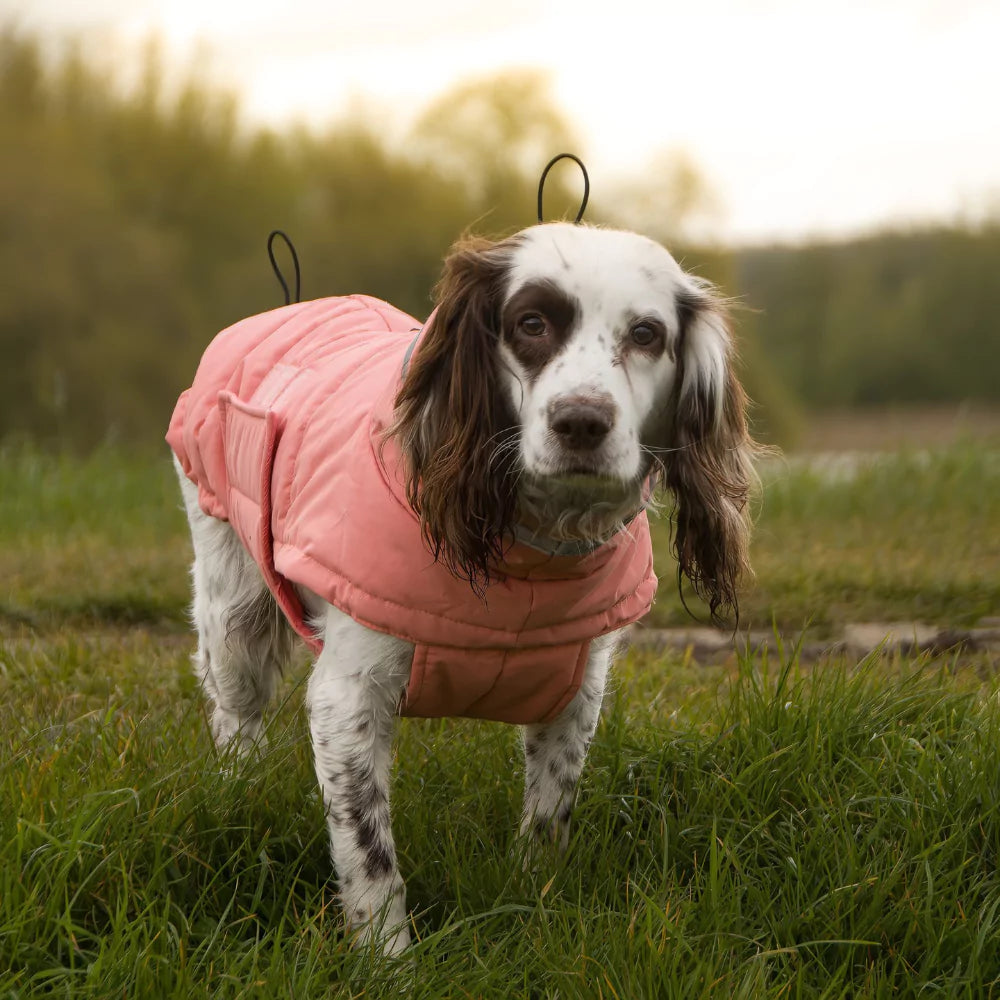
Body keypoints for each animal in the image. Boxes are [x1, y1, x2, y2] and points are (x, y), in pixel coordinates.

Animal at [168, 223, 752, 956]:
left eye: (646, 333)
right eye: (531, 323)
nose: (580, 421)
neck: (530, 550)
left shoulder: (577, 690)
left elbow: (548, 818)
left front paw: (534, 910)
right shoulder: (346, 697)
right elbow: (369, 853)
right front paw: (388, 961)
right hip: (233, 611)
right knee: (235, 720)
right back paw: (235, 801)